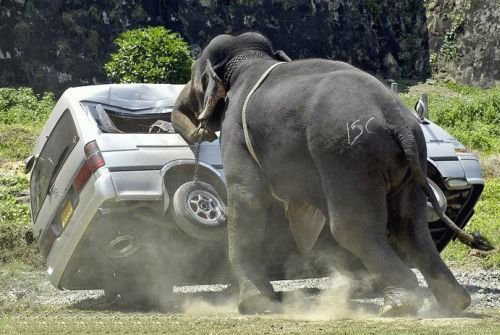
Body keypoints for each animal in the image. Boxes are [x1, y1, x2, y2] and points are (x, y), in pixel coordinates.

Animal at [172, 32, 492, 316]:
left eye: (194, 77)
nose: (195, 129)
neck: (251, 60)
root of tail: (398, 120)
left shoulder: (236, 131)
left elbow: (248, 198)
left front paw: (255, 306)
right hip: (411, 162)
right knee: (410, 224)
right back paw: (455, 303)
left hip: (347, 156)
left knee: (352, 227)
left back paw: (399, 305)